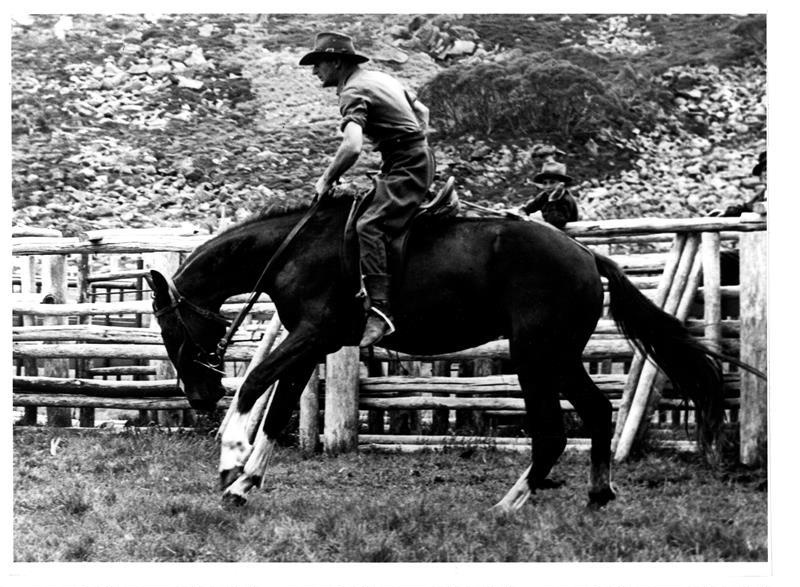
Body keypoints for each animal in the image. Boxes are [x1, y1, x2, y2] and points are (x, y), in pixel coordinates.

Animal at [148, 195, 724, 512]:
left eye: (172, 330)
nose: (199, 396)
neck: (295, 250)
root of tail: (587, 256)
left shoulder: (309, 335)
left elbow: (252, 387)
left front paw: (231, 458)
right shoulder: (311, 344)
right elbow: (277, 410)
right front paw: (245, 484)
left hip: (535, 355)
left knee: (554, 432)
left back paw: (509, 503)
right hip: (558, 356)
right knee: (599, 413)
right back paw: (597, 495)